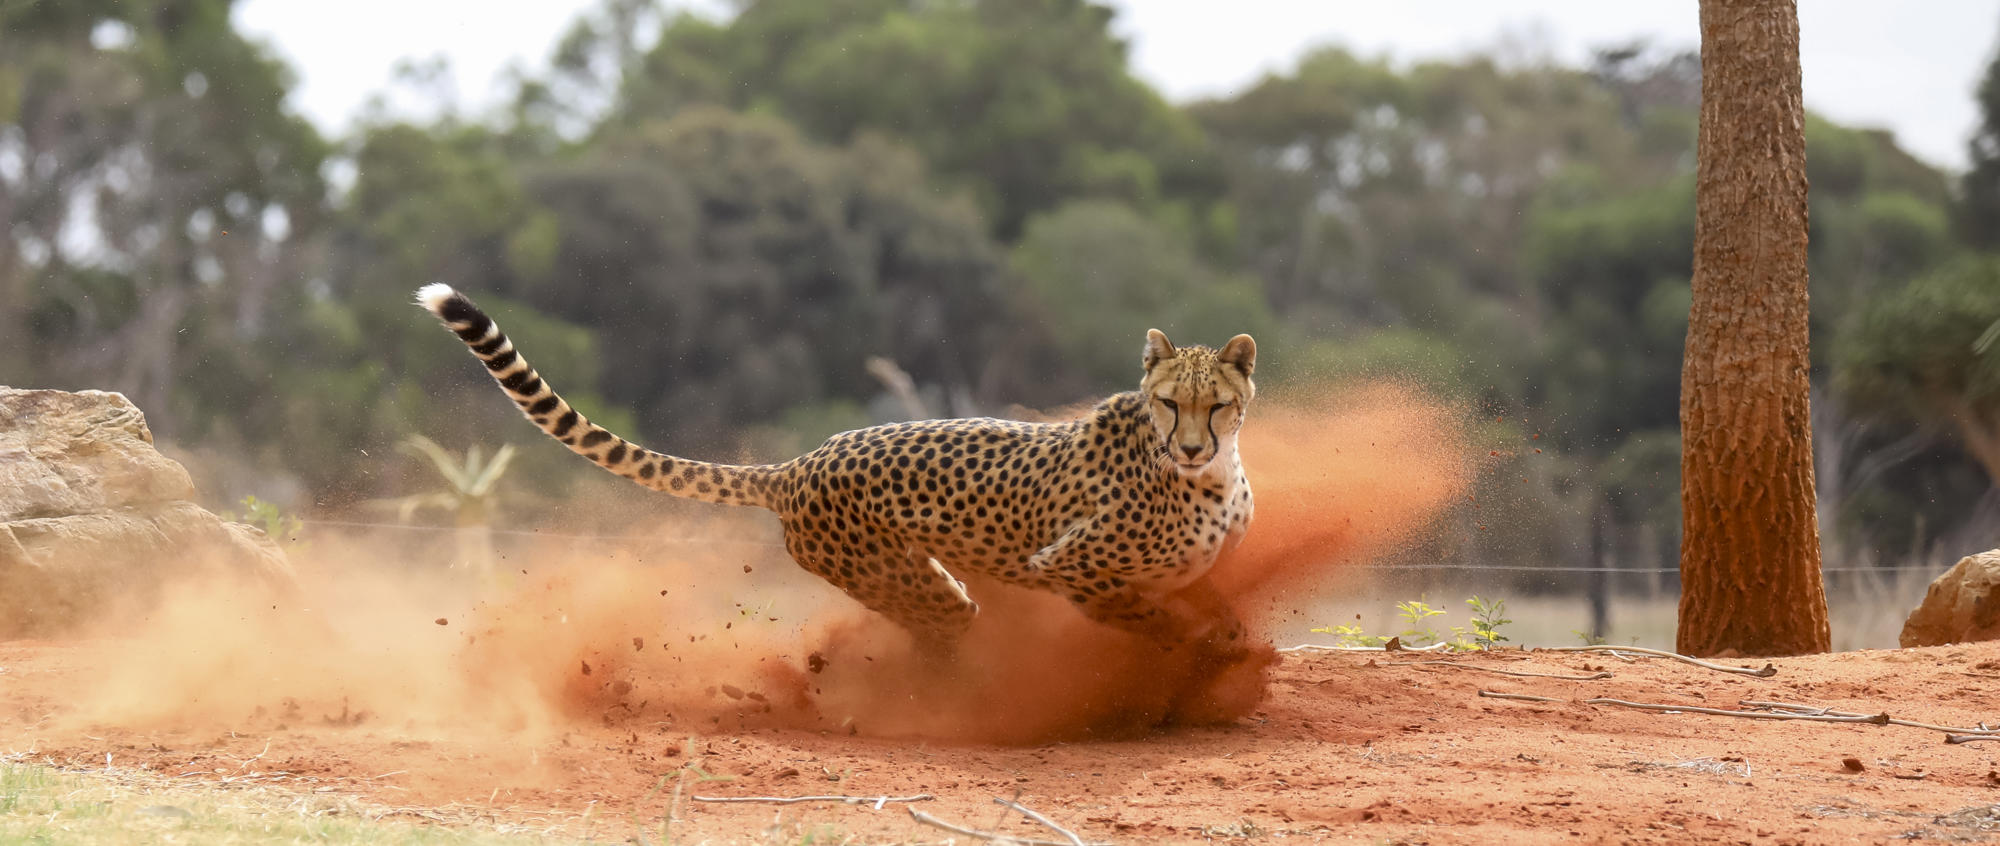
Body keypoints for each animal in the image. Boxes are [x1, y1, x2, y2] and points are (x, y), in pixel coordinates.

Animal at [416, 283, 1258, 659]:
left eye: (1215, 406)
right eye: (1168, 403)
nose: (1190, 447)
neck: (1206, 475)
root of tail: (798, 462)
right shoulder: (1066, 564)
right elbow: (1153, 617)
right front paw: (1205, 659)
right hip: (908, 581)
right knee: (945, 634)